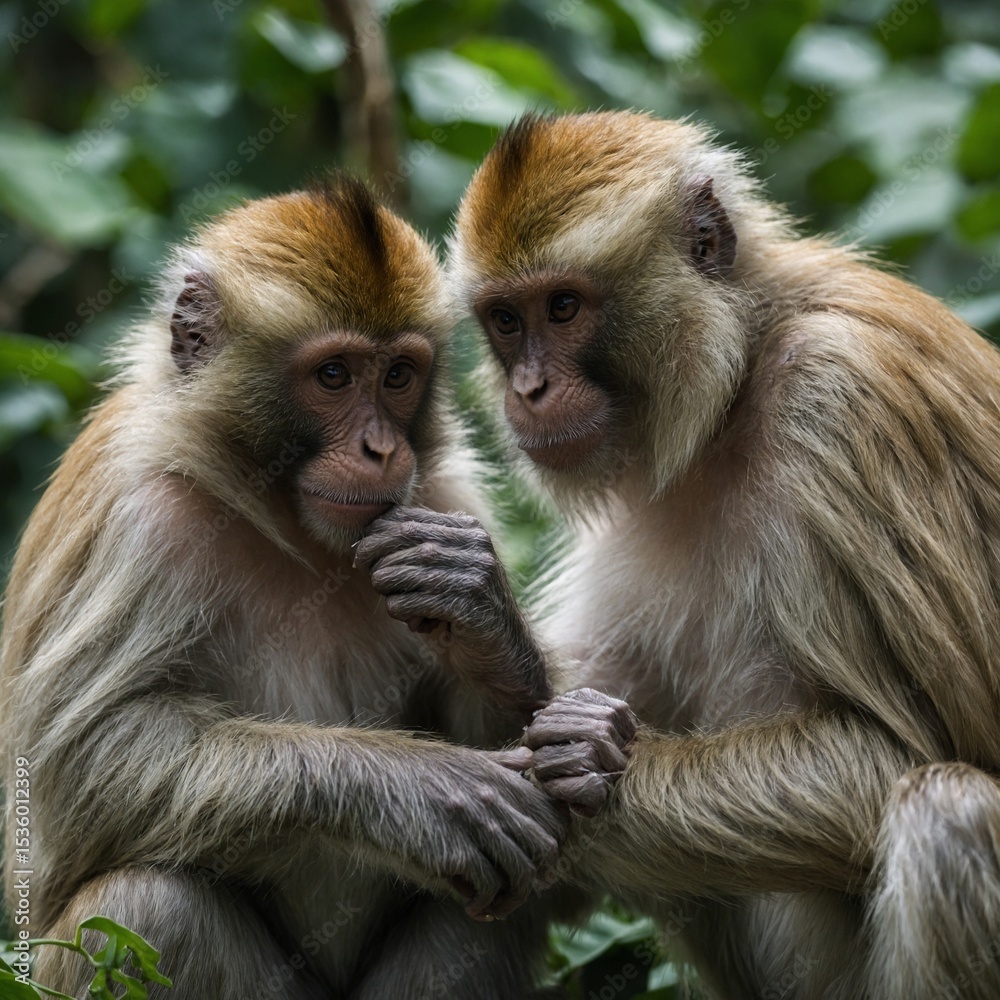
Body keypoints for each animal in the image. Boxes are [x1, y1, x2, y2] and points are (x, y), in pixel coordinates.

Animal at [0, 176, 568, 1000]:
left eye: (397, 376)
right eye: (333, 375)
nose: (381, 448)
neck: (287, 530)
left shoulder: (444, 495)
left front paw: (476, 611)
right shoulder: (139, 521)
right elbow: (77, 769)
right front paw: (419, 791)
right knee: (149, 905)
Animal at [448, 110, 1000, 1000]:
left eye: (563, 308)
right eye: (506, 320)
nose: (527, 391)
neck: (738, 374)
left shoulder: (838, 399)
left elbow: (891, 758)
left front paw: (592, 772)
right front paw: (479, 631)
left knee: (947, 810)